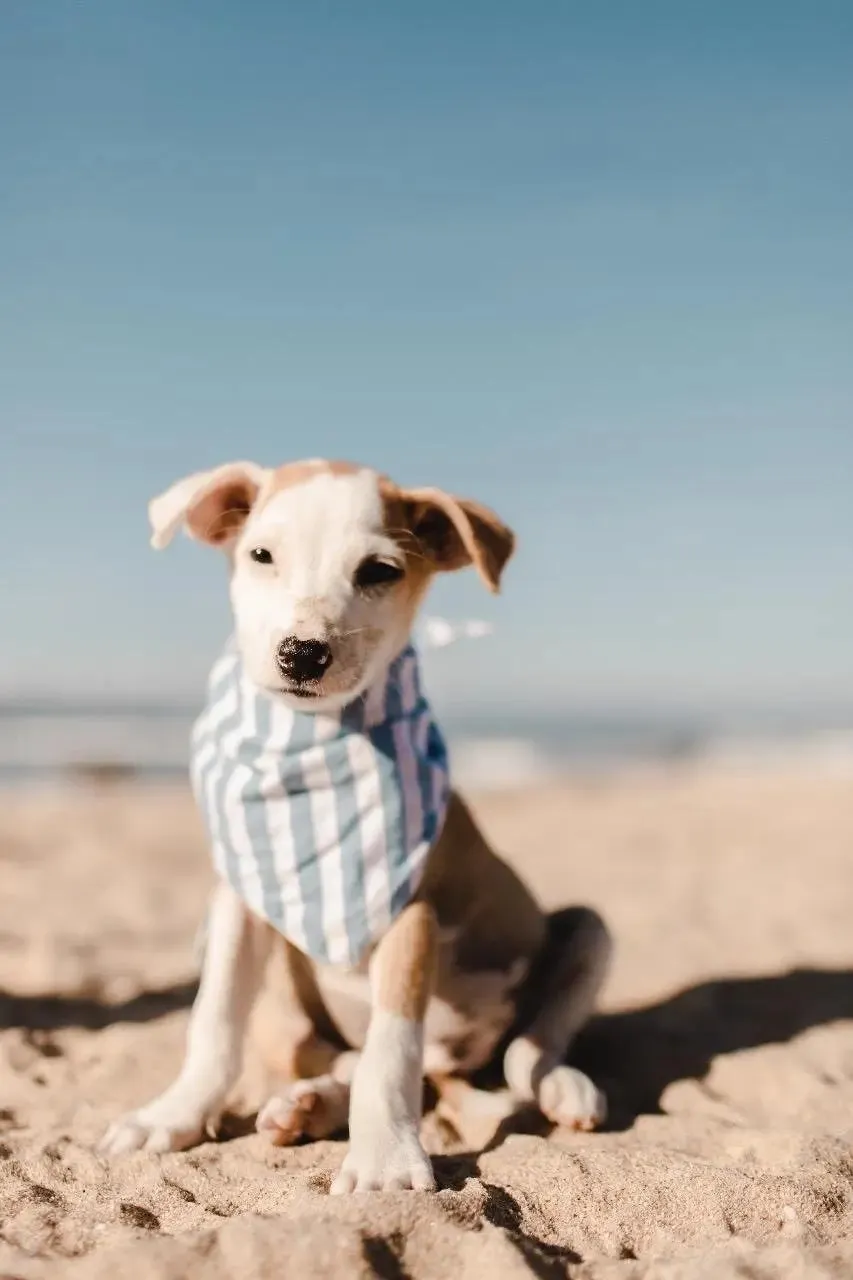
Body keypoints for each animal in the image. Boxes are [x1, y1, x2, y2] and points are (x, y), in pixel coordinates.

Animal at [101, 458, 612, 1187]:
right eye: (261, 555)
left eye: (378, 570)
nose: (302, 654)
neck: (313, 745)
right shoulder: (238, 897)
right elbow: (214, 1019)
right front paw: (172, 1114)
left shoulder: (411, 914)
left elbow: (390, 1049)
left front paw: (384, 1160)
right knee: (326, 1054)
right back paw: (307, 1104)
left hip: (587, 928)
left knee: (518, 1051)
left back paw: (561, 1084)